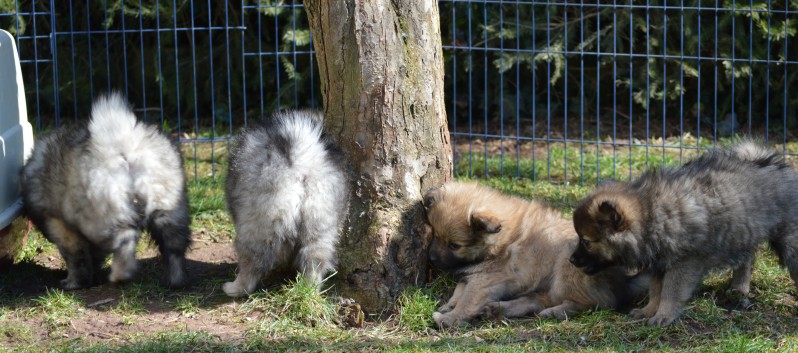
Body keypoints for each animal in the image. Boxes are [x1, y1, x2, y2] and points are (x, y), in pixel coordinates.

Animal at [21, 93, 191, 288]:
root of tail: (122, 142)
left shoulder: (60, 225)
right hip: (169, 206)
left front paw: (72, 282)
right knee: (174, 246)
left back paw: (120, 275)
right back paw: (175, 280)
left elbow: (75, 257)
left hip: (99, 218)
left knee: (125, 239)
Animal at [223, 110, 352, 296]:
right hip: (321, 220)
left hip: (258, 222)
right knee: (315, 258)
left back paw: (236, 288)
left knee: (254, 260)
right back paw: (309, 291)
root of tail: (301, 162)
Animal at [424, 182, 644, 328]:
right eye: (435, 234)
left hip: (567, 269)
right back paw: (501, 309)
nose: (431, 259)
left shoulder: (485, 281)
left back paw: (555, 312)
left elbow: (467, 301)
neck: (501, 238)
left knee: (593, 303)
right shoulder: (475, 275)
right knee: (538, 299)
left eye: (454, 245)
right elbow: (460, 289)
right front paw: (449, 305)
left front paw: (449, 318)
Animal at [572, 141, 798, 328]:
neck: (651, 214)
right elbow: (656, 291)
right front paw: (648, 311)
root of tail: (775, 164)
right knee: (747, 260)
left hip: (787, 242)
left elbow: (670, 293)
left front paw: (663, 316)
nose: (571, 260)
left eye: (586, 241)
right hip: (742, 234)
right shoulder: (658, 264)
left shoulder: (683, 263)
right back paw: (738, 289)